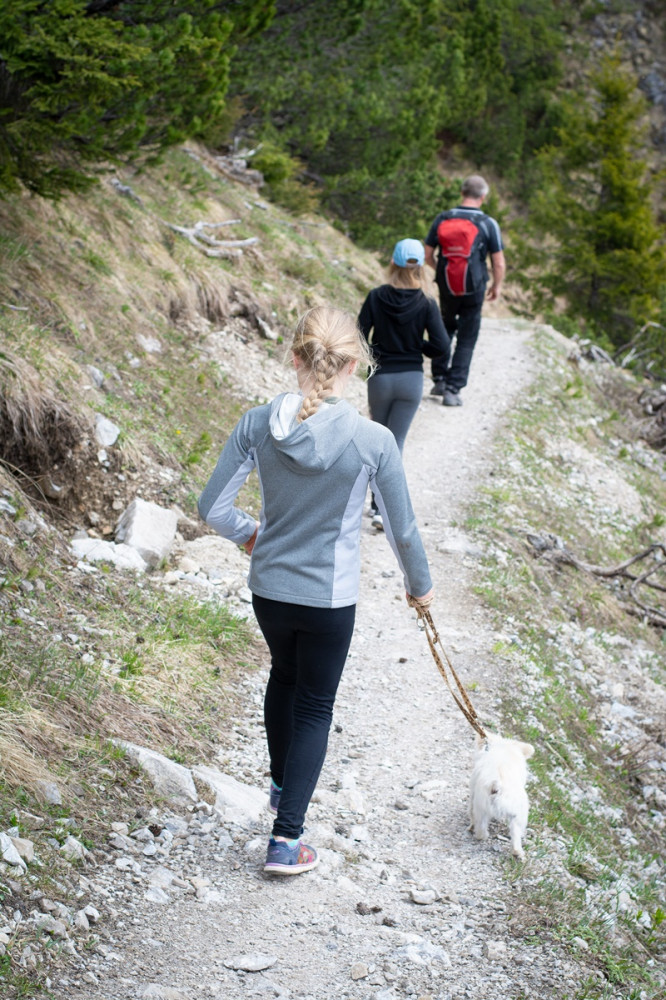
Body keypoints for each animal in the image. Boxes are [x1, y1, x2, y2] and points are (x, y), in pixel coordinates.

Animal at [466, 728, 536, 860]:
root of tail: (498, 787)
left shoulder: (473, 794)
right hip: (518, 815)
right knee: (516, 834)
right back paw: (517, 852)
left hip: (482, 807)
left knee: (481, 825)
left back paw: (479, 835)